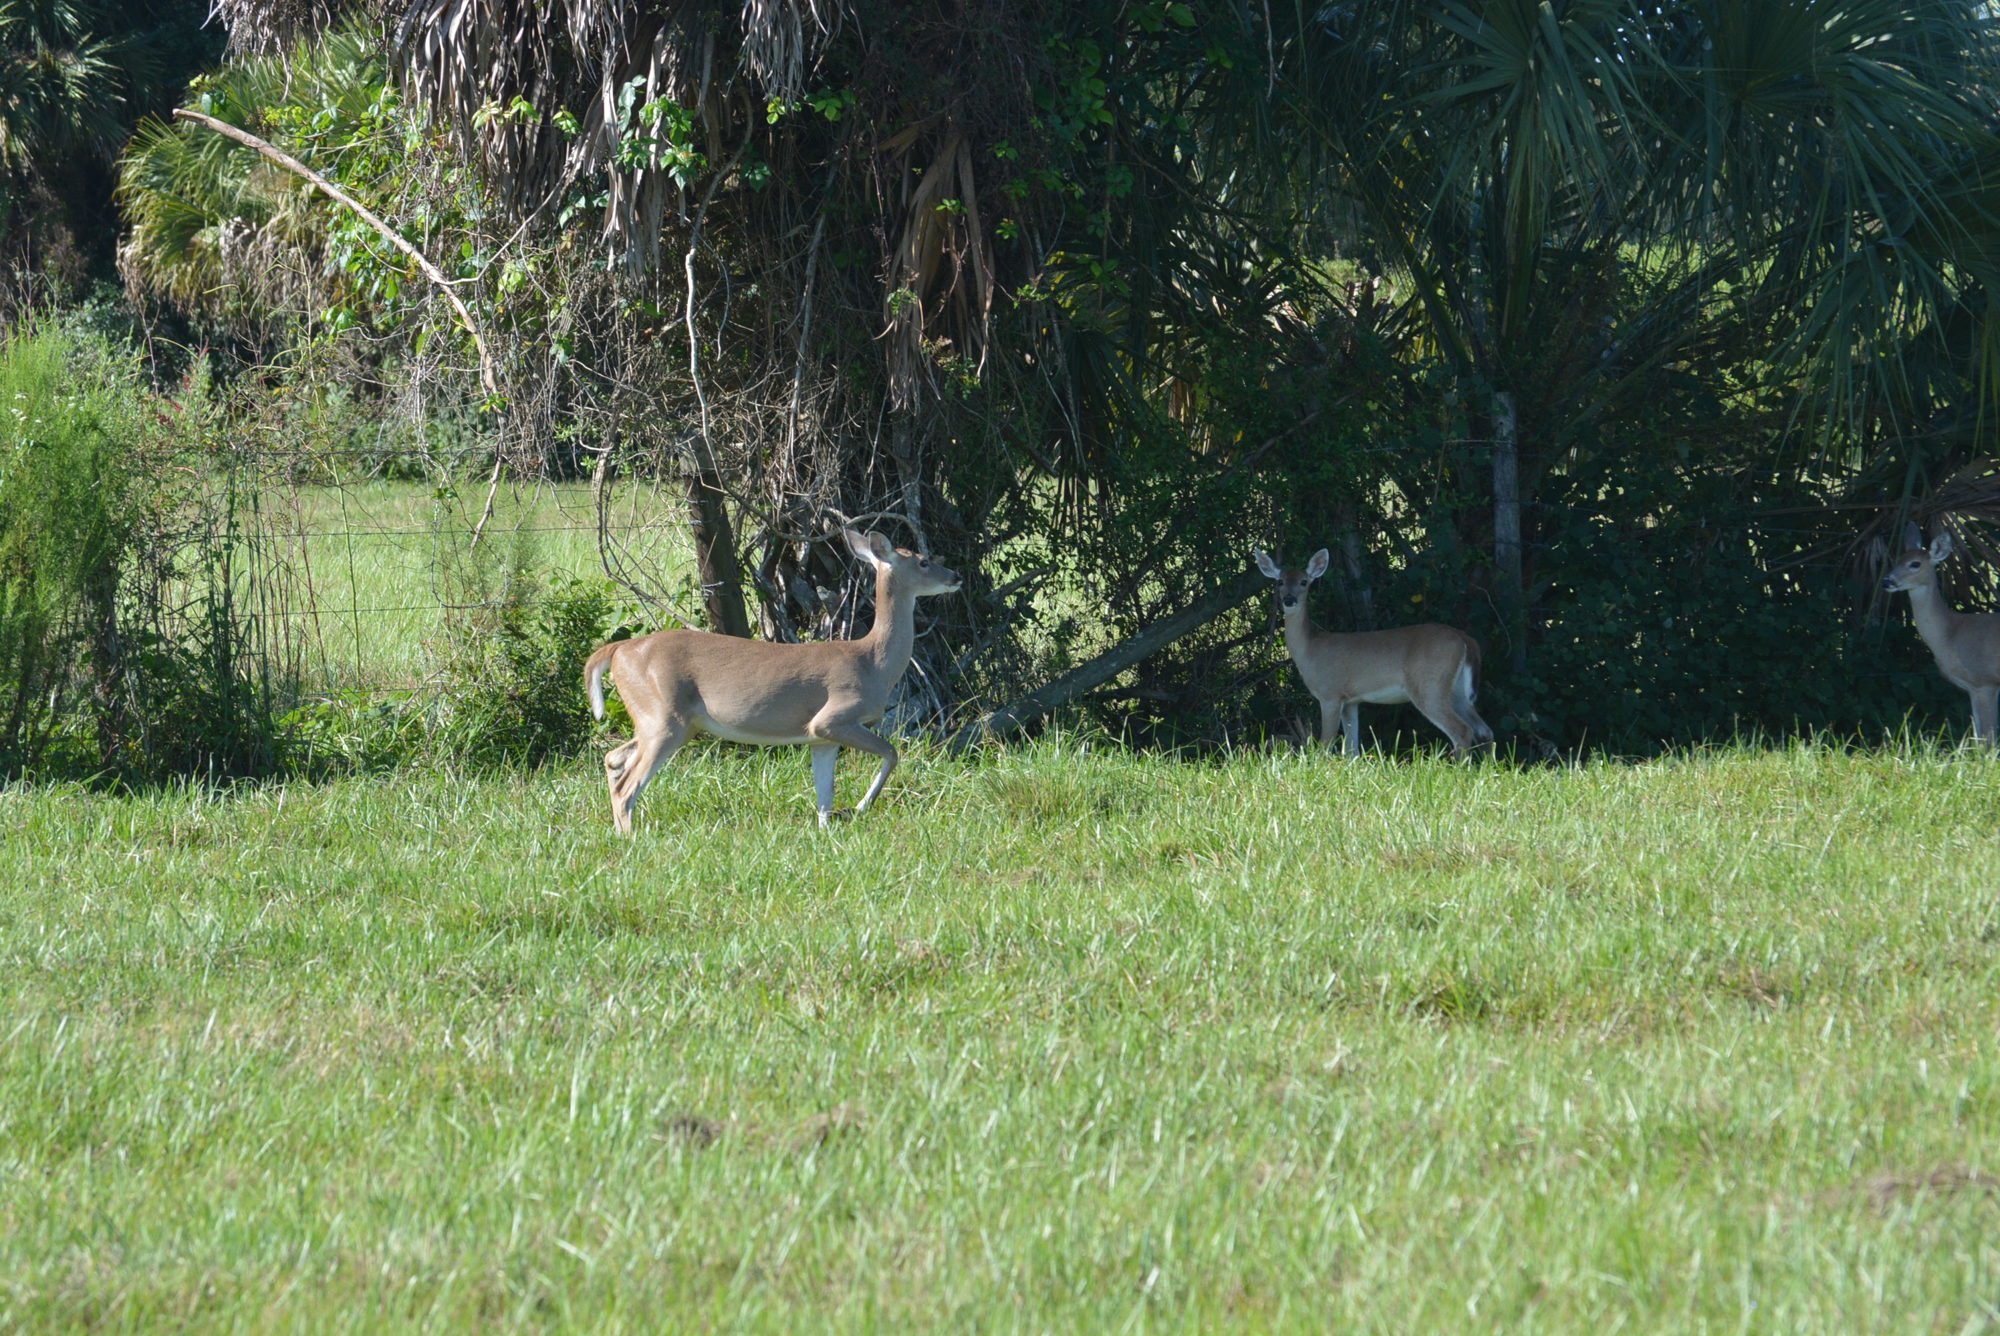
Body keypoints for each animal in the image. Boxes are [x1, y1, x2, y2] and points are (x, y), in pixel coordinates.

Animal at [584, 532, 964, 836]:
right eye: (924, 561)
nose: (956, 576)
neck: (873, 662)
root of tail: (618, 650)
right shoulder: (835, 716)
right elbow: (892, 752)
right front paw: (859, 807)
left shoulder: (820, 736)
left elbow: (824, 792)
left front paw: (827, 829)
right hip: (664, 716)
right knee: (627, 785)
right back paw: (632, 838)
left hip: (663, 718)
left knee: (613, 758)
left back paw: (619, 832)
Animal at [1256, 544, 1496, 756]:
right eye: (1279, 582)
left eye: (1304, 581)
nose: (1289, 599)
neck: (1310, 648)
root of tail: (1465, 639)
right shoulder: (1351, 700)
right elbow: (1351, 749)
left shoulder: (1330, 693)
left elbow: (1326, 744)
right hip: (1456, 689)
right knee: (1484, 730)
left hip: (1429, 686)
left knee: (1462, 730)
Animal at [1880, 520, 1992, 748]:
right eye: (1896, 559)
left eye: (1915, 564)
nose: (1887, 581)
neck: (1951, 634)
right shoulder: (1973, 688)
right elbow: (1978, 734)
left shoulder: (1985, 679)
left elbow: (1988, 737)